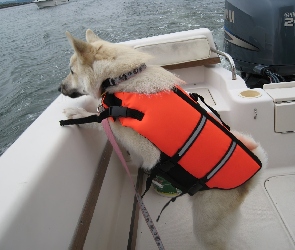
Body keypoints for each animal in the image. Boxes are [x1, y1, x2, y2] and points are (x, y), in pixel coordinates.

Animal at [59, 29, 268, 250]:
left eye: (72, 71)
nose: (59, 88)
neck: (121, 77)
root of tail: (250, 181)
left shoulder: (141, 144)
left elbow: (103, 121)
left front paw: (78, 114)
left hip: (206, 227)